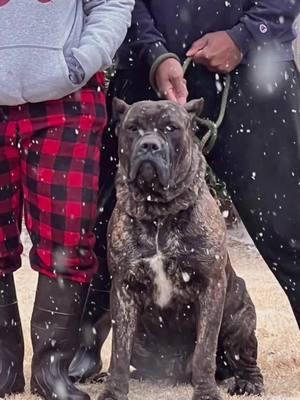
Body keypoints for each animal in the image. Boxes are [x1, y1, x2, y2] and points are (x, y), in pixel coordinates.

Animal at [98, 97, 262, 400]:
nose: (149, 145)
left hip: (241, 318)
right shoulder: (123, 289)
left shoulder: (211, 286)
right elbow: (119, 352)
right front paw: (113, 391)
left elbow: (204, 351)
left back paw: (248, 383)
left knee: (243, 357)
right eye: (133, 128)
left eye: (170, 128)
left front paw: (206, 392)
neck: (158, 212)